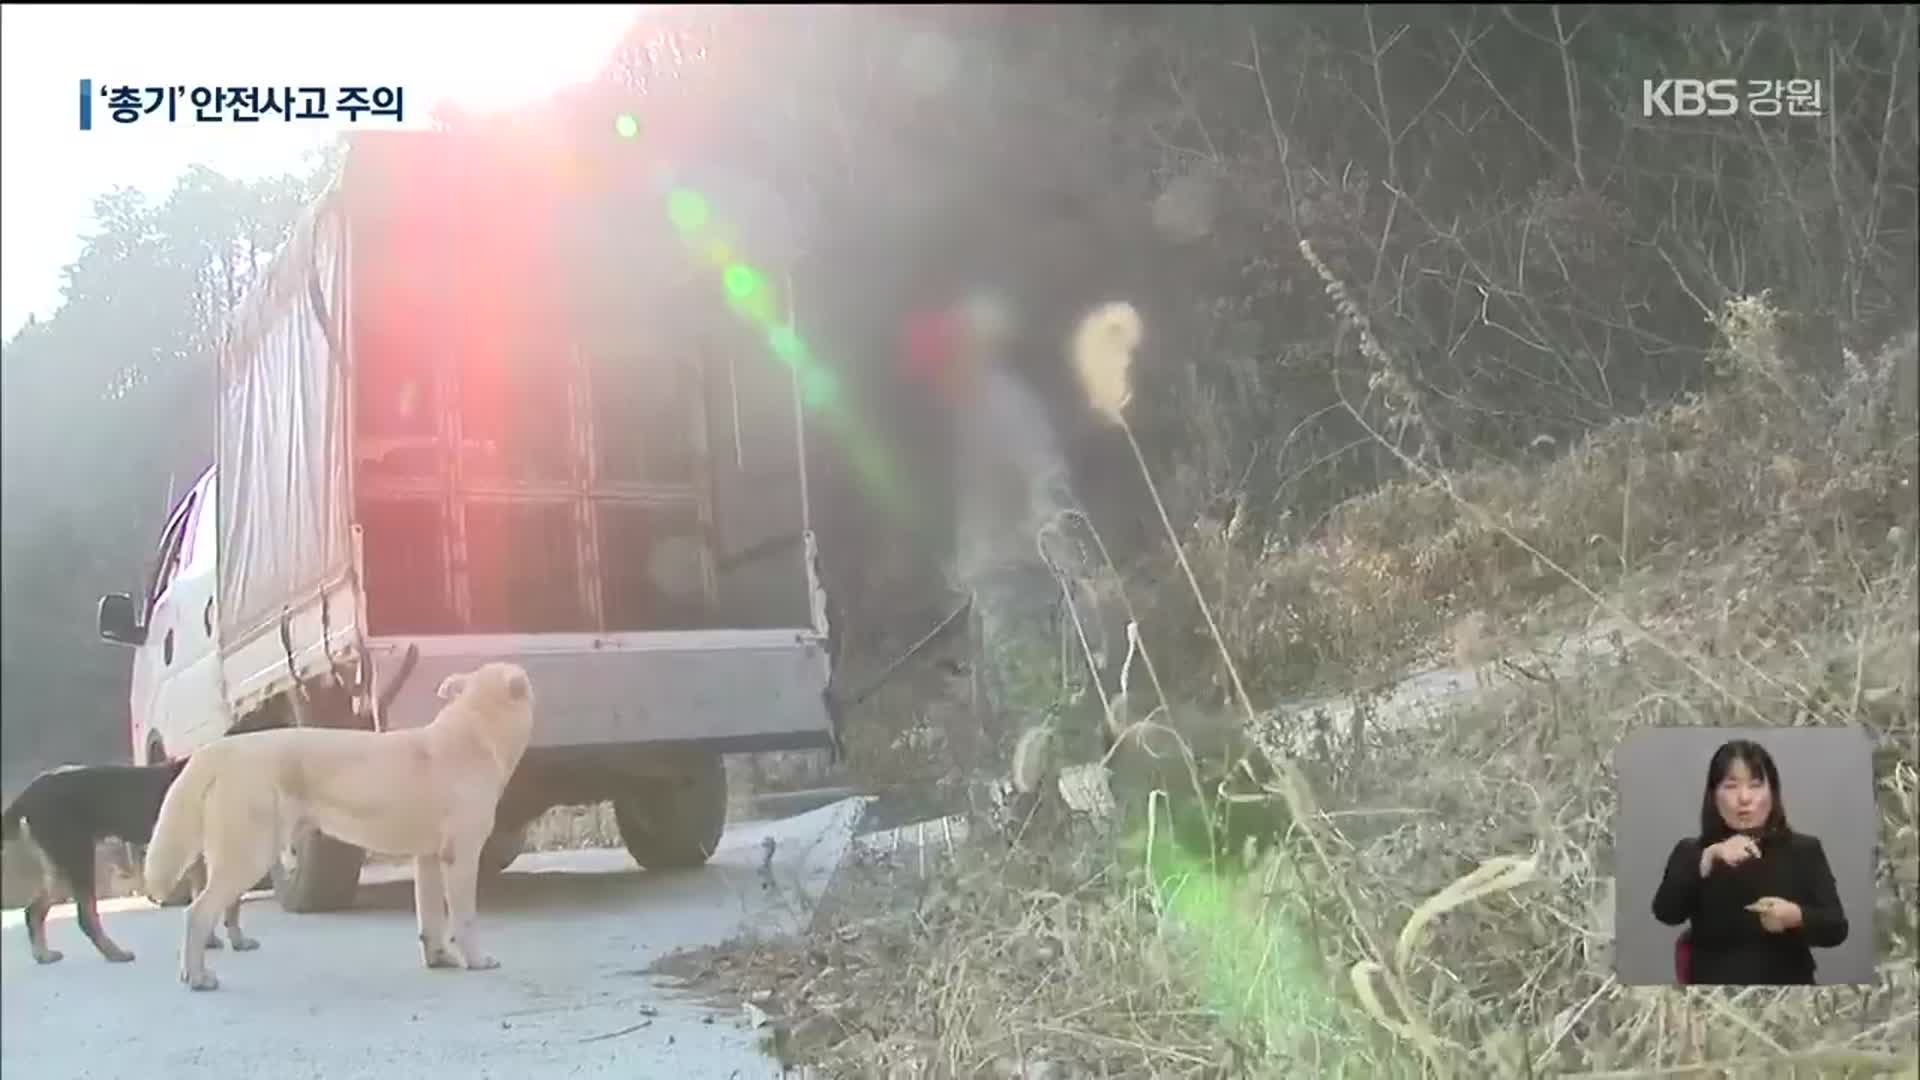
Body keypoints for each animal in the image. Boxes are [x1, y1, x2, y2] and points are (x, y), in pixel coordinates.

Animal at [2, 757, 255, 957]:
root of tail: (30, 789)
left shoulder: (200, 860)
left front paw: (211, 941)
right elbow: (230, 905)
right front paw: (238, 941)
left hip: (62, 866)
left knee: (33, 910)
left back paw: (43, 955)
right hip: (79, 858)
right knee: (86, 916)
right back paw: (116, 954)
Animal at [143, 657, 537, 983]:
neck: (475, 732)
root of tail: (222, 749)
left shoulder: (427, 860)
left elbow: (431, 918)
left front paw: (439, 958)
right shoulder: (461, 857)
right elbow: (465, 917)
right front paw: (477, 960)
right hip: (249, 855)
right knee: (197, 912)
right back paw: (198, 977)